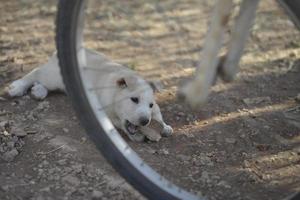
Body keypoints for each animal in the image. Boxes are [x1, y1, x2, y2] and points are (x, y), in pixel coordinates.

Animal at [7, 49, 172, 141]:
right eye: (134, 99)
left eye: (150, 104)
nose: (145, 121)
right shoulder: (105, 112)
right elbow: (121, 124)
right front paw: (140, 134)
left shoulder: (154, 109)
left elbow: (158, 115)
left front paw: (166, 127)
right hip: (53, 76)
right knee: (37, 72)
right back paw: (17, 87)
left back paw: (38, 91)